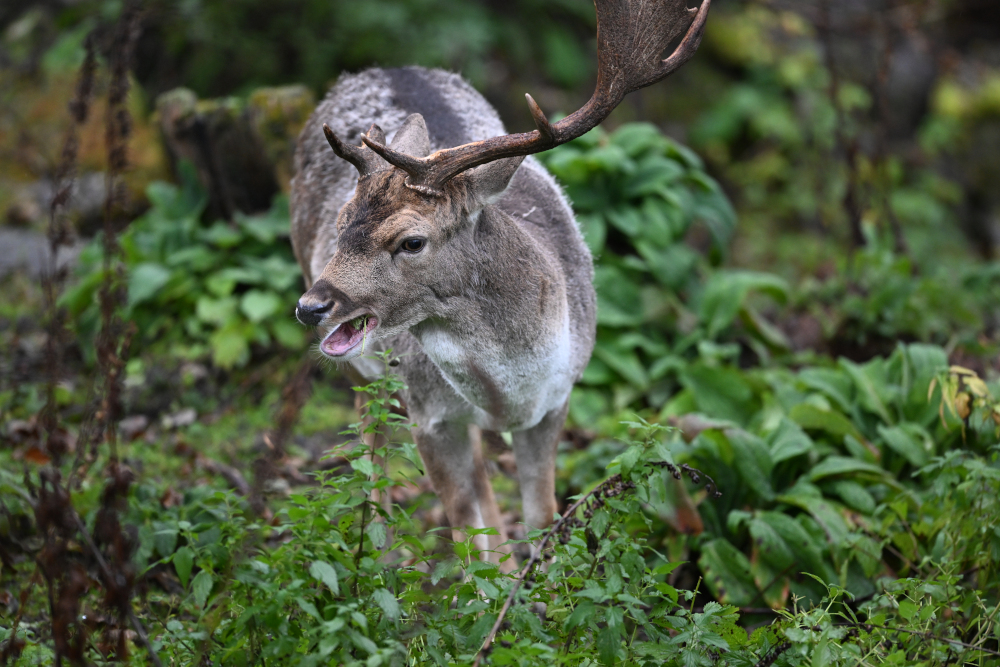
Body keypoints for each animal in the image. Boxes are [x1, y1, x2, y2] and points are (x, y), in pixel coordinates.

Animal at [290, 0, 712, 568]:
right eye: (341, 223)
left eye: (411, 241)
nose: (311, 306)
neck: (508, 396)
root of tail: (389, 66)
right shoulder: (429, 415)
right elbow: (466, 533)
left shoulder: (556, 401)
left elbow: (541, 517)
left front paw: (537, 584)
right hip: (366, 366)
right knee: (370, 432)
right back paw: (379, 560)